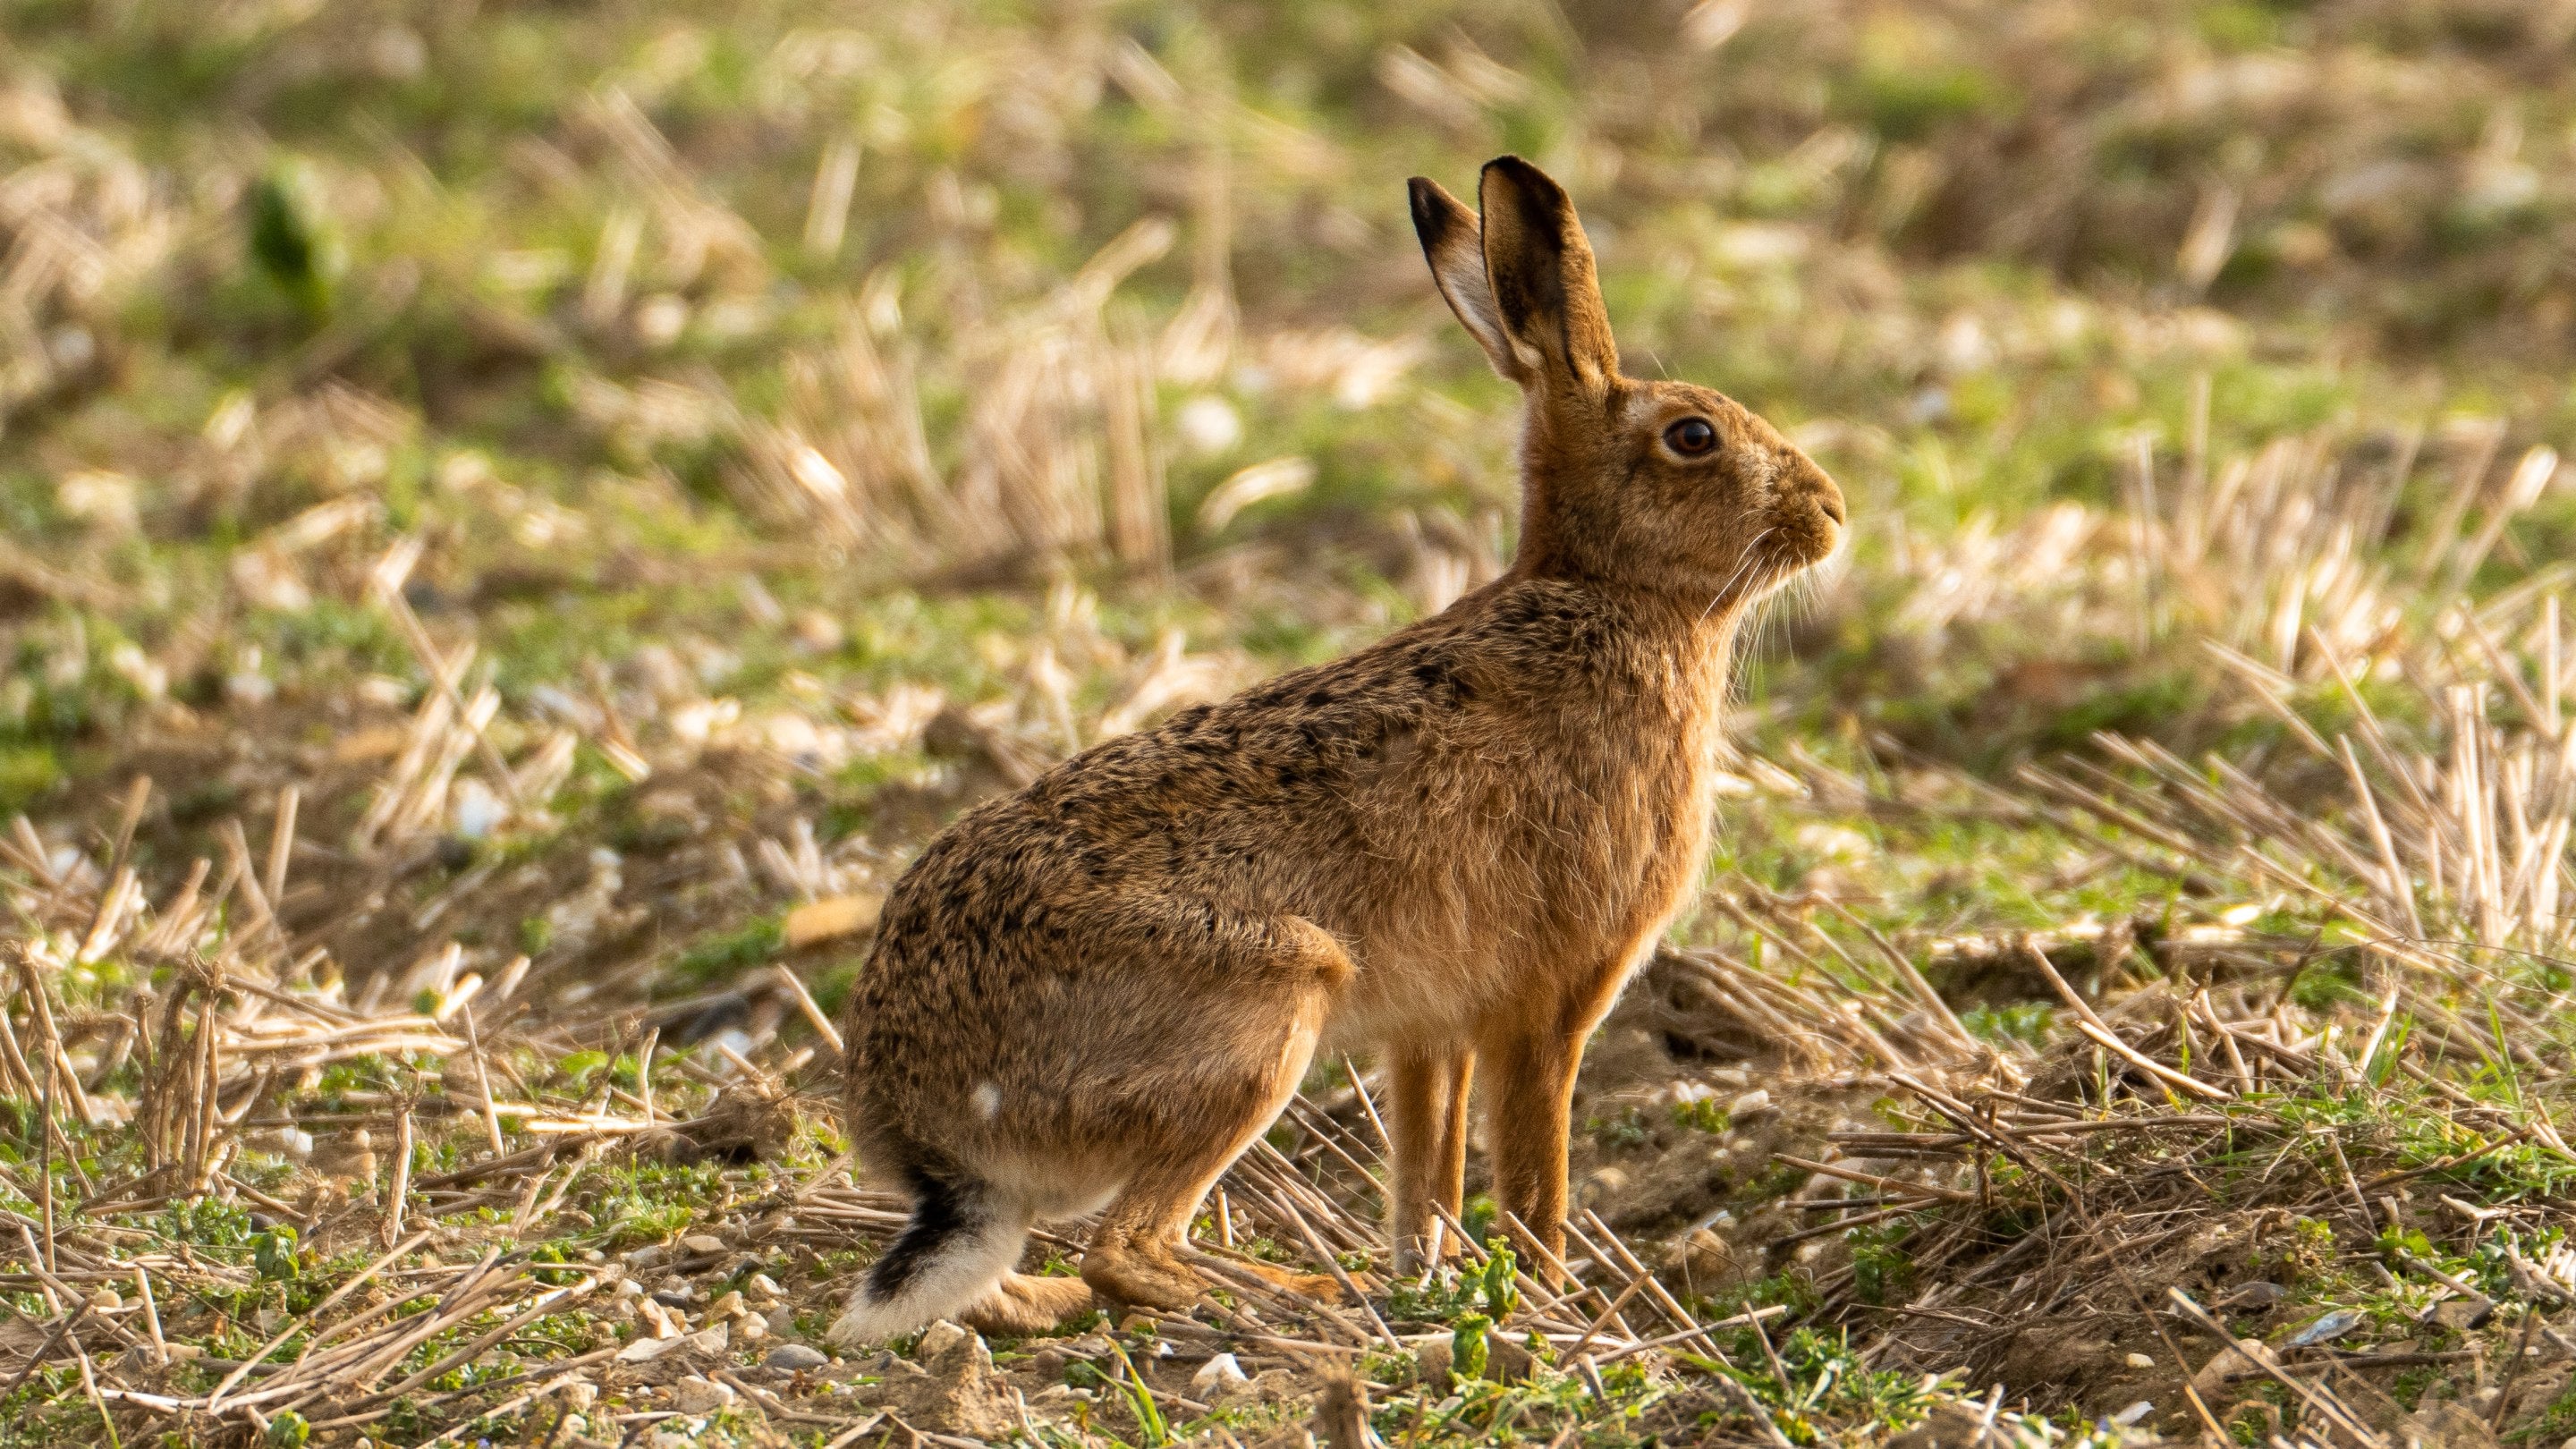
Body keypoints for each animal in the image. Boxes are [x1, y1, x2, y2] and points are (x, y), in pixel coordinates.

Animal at [828, 155, 1845, 1345]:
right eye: (1693, 436)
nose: (1832, 511)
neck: (1613, 593)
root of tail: (931, 1137)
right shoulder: (1552, 998)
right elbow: (1535, 1169)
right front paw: (1554, 1301)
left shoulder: (1432, 1033)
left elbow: (1428, 1174)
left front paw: (1436, 1278)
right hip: (1271, 998)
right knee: (1126, 1249)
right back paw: (1304, 1297)